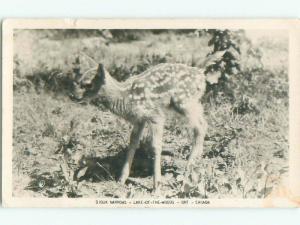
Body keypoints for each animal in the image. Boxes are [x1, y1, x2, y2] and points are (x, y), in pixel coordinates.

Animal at [71, 51, 224, 191]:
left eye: (88, 84)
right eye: (78, 81)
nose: (74, 96)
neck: (124, 95)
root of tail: (199, 72)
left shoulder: (155, 115)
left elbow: (155, 146)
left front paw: (156, 185)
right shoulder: (139, 120)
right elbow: (133, 143)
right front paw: (121, 179)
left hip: (184, 102)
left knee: (200, 126)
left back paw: (188, 170)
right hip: (192, 102)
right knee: (203, 124)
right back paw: (196, 163)